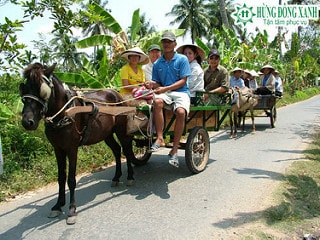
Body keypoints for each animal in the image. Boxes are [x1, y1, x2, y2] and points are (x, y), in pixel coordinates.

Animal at [18, 62, 136, 224]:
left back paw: (130, 177)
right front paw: (58, 206)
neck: (64, 113)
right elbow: (61, 177)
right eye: (23, 88)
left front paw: (72, 209)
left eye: (43, 91)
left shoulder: (72, 148)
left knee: (127, 150)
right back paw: (116, 177)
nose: (27, 122)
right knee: (117, 150)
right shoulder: (58, 149)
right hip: (106, 133)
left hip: (121, 130)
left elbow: (71, 179)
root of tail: (117, 94)